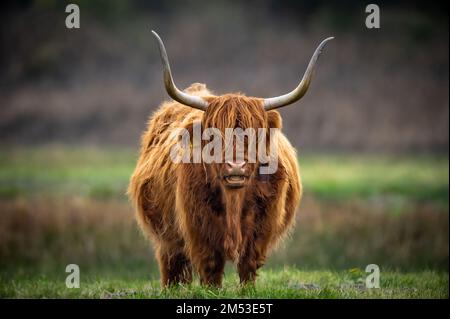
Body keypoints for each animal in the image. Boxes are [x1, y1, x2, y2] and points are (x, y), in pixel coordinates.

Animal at [128, 31, 332, 288]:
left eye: (255, 136)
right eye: (213, 136)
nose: (236, 165)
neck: (234, 200)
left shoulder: (262, 228)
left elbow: (249, 263)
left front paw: (248, 290)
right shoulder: (198, 227)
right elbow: (210, 266)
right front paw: (212, 290)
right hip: (165, 236)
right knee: (171, 263)